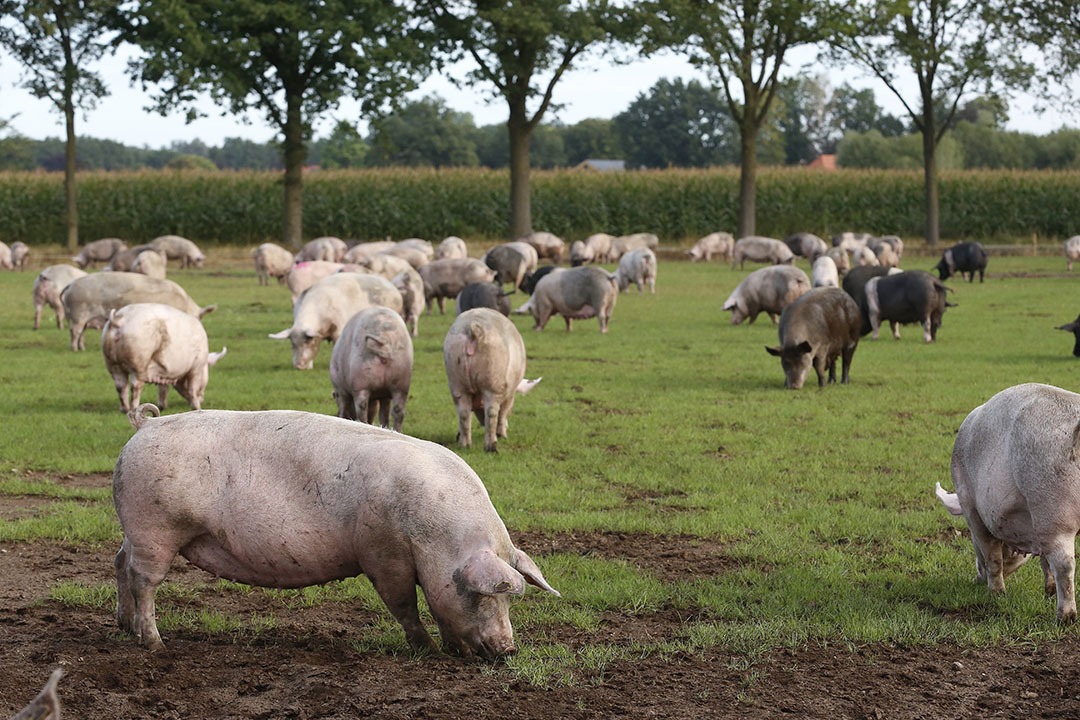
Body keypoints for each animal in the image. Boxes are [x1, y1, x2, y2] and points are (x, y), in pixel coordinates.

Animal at [61, 272, 214, 349]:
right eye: (199, 320)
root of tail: (71, 284)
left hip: (78, 317)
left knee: (79, 333)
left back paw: (82, 348)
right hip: (79, 314)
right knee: (75, 332)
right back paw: (74, 349)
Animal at [113, 405, 561, 660]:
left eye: (511, 602)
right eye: (482, 596)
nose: (509, 649)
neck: (433, 537)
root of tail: (146, 423)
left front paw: (454, 649)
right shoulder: (383, 553)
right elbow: (404, 604)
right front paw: (431, 651)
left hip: (135, 530)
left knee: (120, 563)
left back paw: (123, 627)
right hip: (156, 528)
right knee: (144, 580)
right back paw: (154, 645)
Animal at [440, 308, 540, 451]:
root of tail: (474, 329)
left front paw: (458, 435)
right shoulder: (510, 393)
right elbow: (504, 412)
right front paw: (503, 435)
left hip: (455, 378)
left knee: (463, 412)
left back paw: (465, 445)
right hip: (493, 378)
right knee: (492, 412)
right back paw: (492, 446)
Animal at [933, 382, 1080, 626]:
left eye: (969, 539)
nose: (976, 577)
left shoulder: (972, 507)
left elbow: (992, 553)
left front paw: (996, 594)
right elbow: (1044, 561)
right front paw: (1048, 592)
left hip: (1053, 508)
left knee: (1065, 563)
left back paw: (1064, 618)